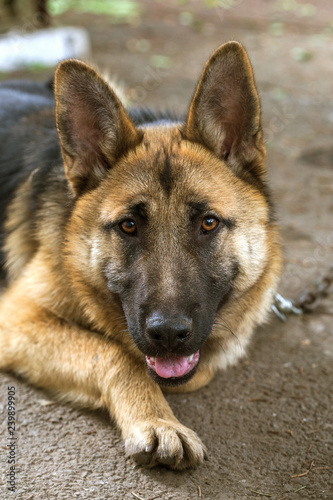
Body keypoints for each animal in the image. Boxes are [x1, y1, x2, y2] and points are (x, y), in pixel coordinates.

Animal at [0, 43, 280, 468]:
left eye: (209, 223)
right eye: (129, 226)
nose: (168, 335)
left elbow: (194, 367)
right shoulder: (17, 318)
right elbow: (117, 354)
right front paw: (156, 420)